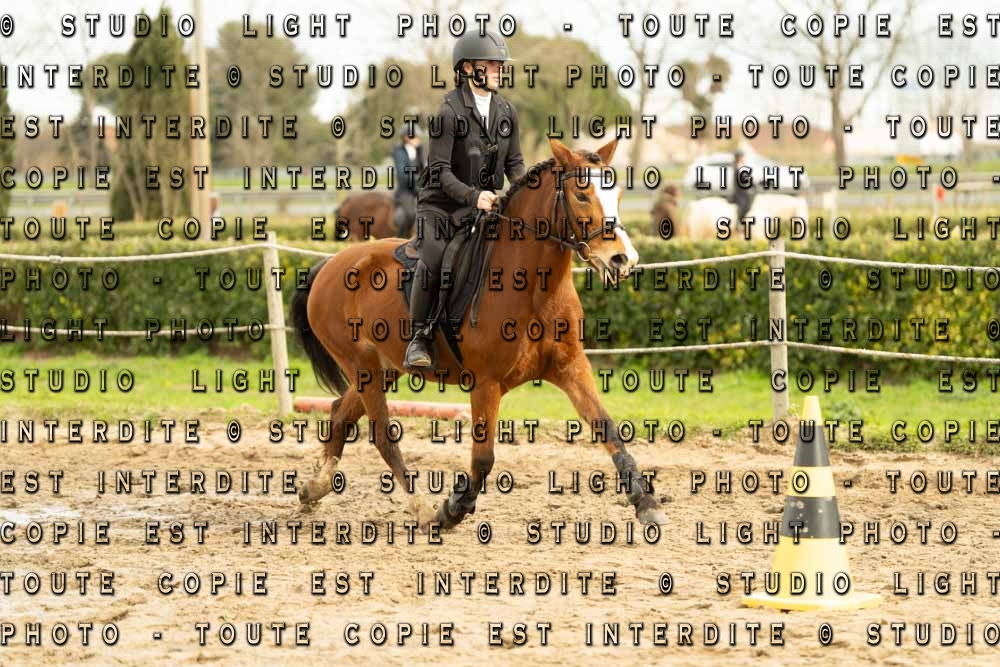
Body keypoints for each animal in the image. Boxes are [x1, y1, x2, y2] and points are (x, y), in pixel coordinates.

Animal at [290, 136, 670, 531]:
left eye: (619, 194)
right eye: (581, 195)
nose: (623, 260)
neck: (537, 289)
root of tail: (328, 264)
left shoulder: (571, 369)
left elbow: (609, 431)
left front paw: (647, 503)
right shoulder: (486, 383)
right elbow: (483, 458)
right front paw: (452, 510)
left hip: (385, 367)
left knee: (340, 413)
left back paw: (313, 489)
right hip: (360, 363)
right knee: (381, 435)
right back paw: (422, 510)